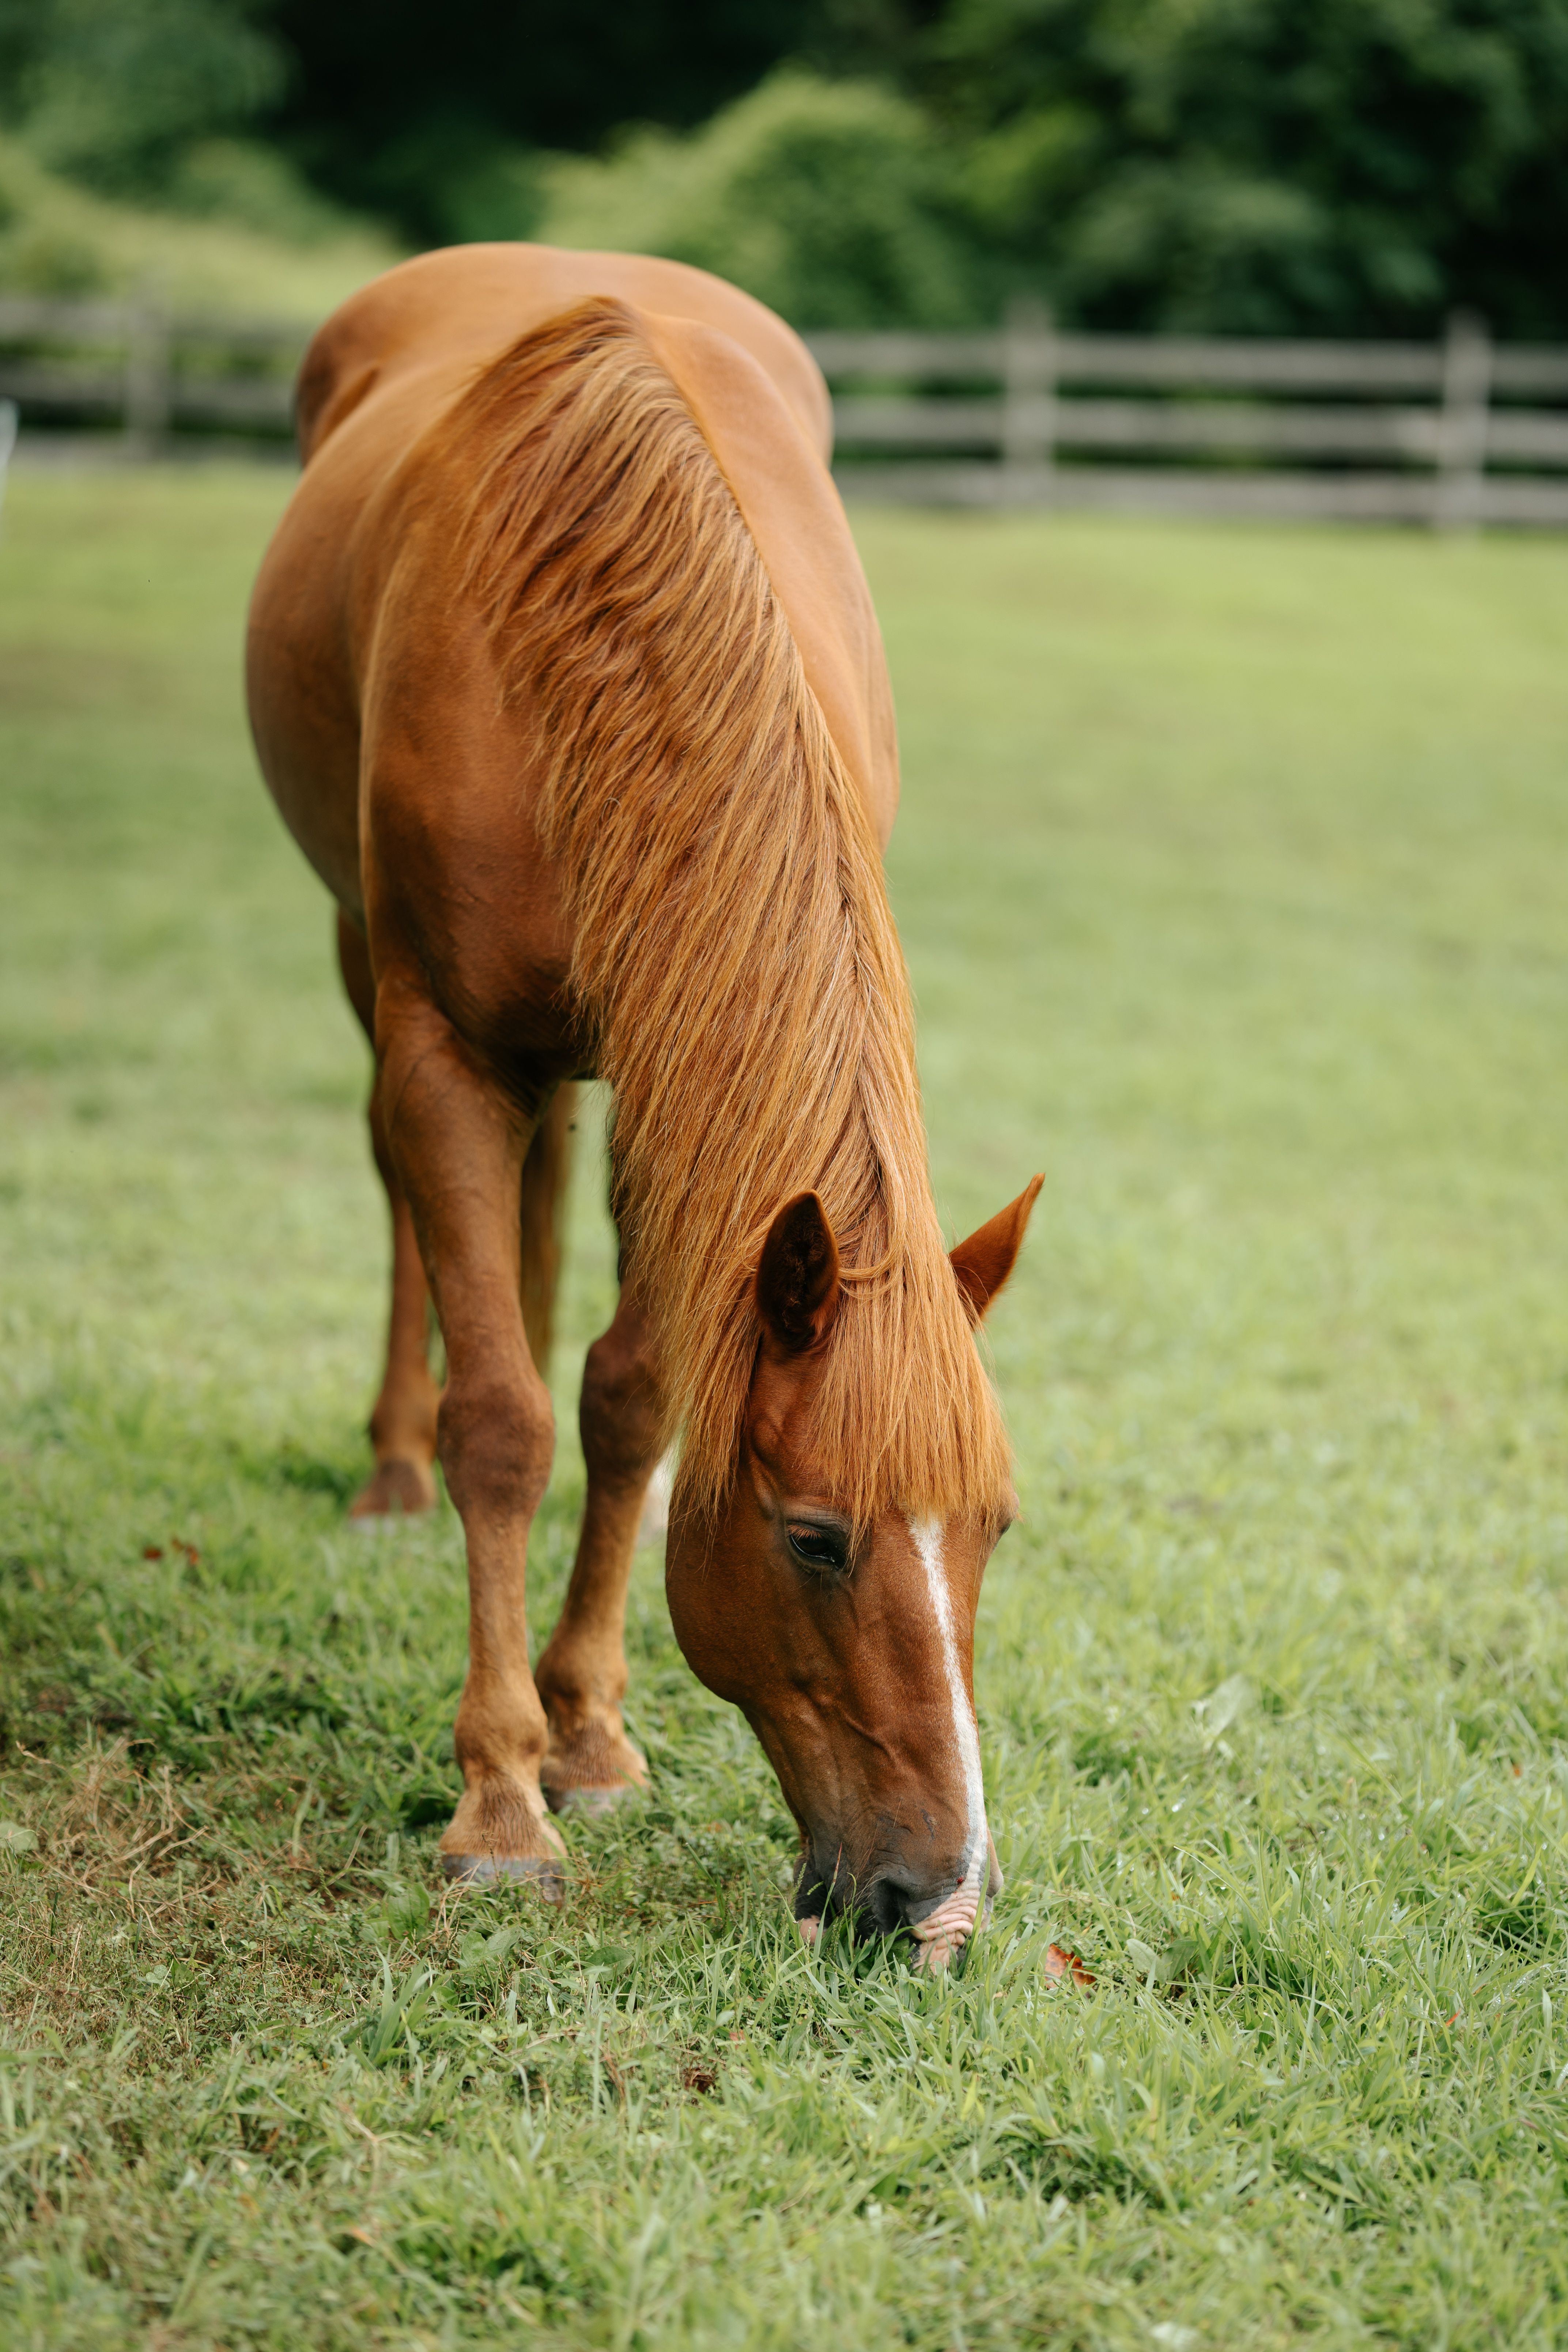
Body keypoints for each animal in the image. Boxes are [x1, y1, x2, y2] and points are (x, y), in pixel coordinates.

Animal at [247, 244, 1041, 1966]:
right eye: (814, 1537)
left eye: (994, 1526)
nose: (937, 1902)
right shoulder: (441, 1039)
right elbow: (500, 1419)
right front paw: (498, 1803)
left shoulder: (677, 1076)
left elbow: (623, 1397)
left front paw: (590, 1730)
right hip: (365, 960)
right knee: (407, 1214)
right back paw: (391, 1467)